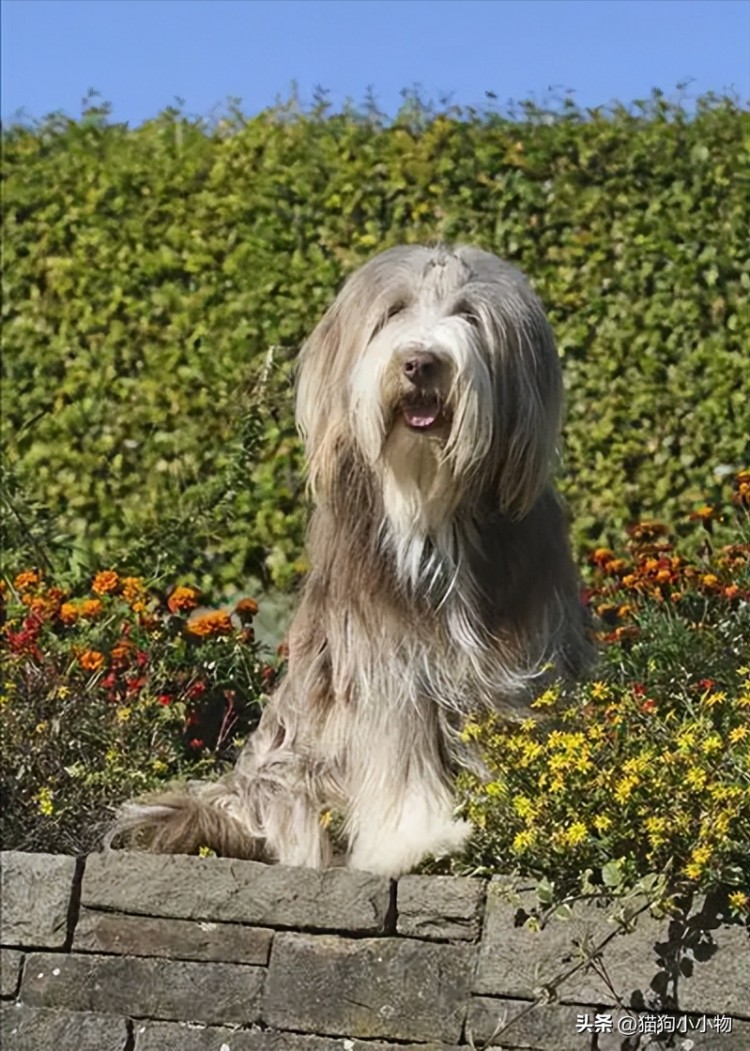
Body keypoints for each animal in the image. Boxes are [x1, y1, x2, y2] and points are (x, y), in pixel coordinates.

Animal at [110, 245, 588, 878]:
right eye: (394, 312)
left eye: (469, 316)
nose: (420, 363)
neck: (433, 513)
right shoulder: (385, 657)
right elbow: (397, 749)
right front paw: (417, 840)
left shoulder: (518, 654)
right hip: (291, 768)